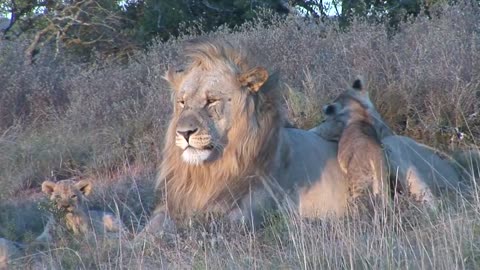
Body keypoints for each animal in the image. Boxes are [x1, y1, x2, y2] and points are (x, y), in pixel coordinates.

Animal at [145, 40, 348, 230]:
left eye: (211, 101)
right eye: (182, 102)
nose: (184, 132)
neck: (207, 172)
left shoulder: (246, 214)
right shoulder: (173, 205)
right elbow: (150, 228)